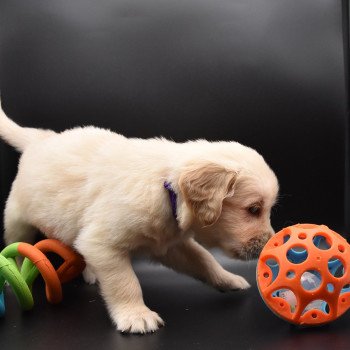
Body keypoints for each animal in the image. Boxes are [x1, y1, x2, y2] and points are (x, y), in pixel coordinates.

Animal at [0, 100, 278, 334]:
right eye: (254, 209)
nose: (267, 244)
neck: (166, 188)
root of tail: (40, 138)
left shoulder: (170, 244)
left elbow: (204, 259)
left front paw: (228, 279)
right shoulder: (103, 243)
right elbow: (125, 281)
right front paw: (136, 315)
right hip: (17, 217)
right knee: (15, 244)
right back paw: (14, 273)